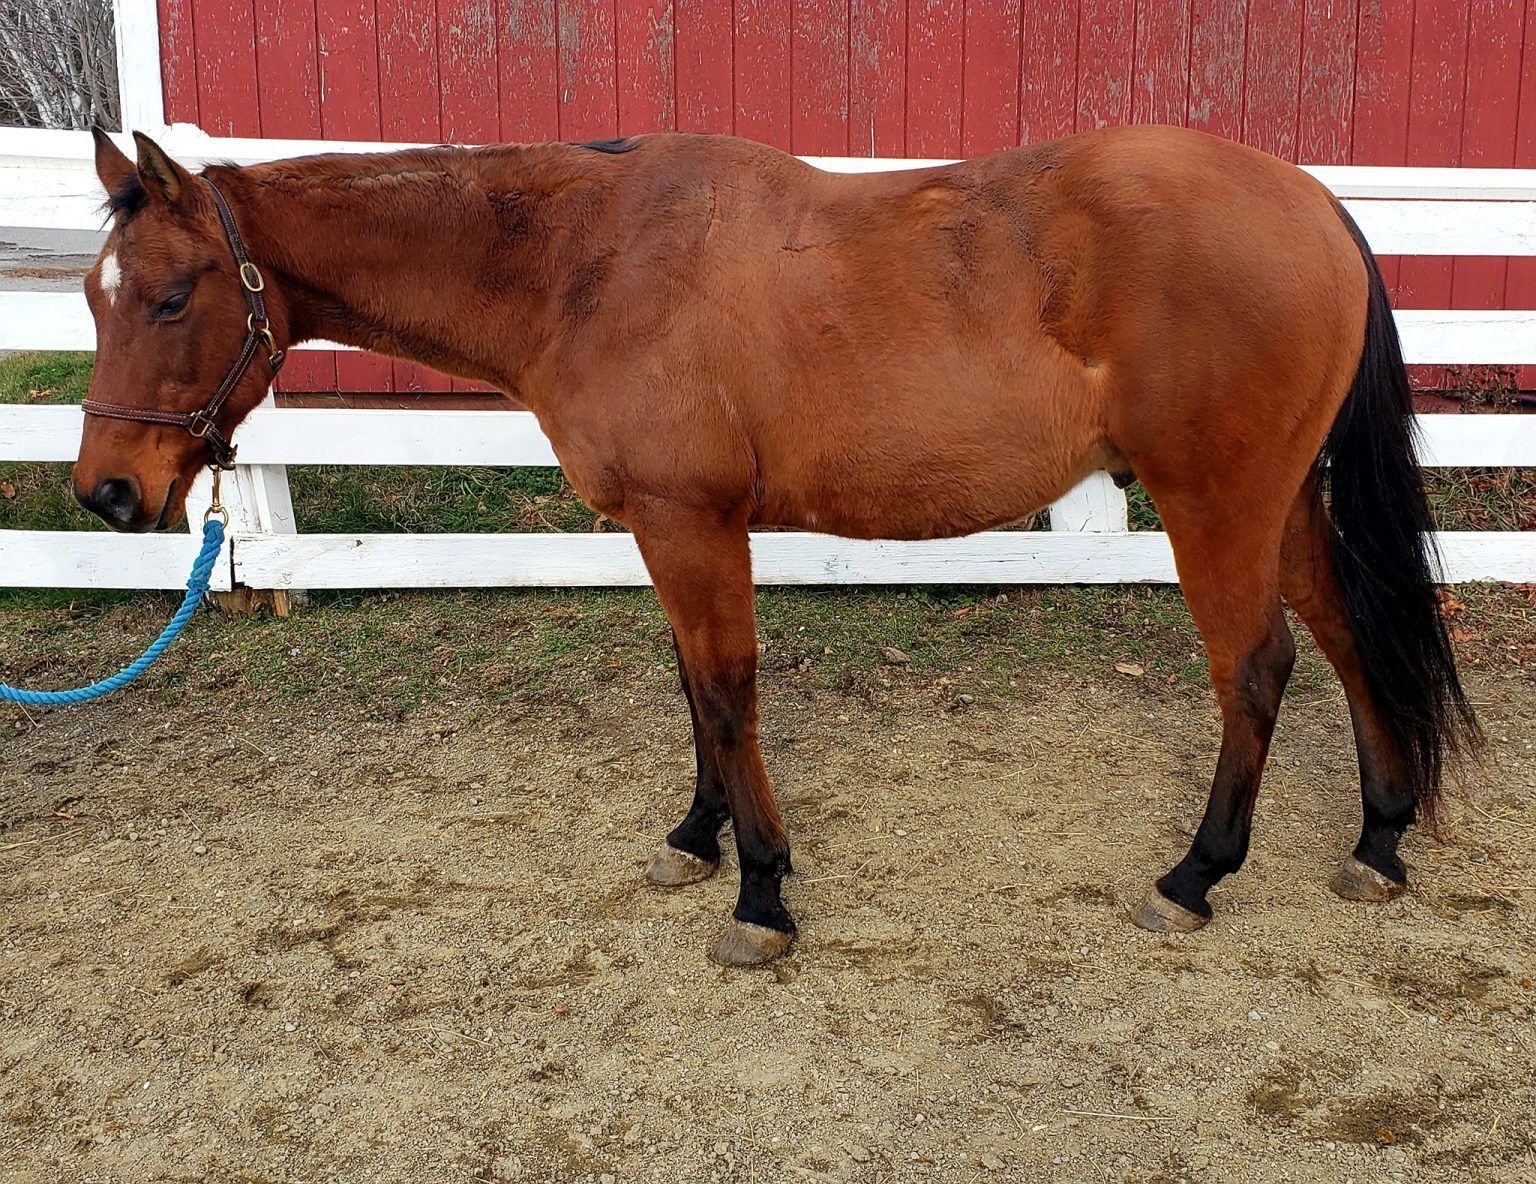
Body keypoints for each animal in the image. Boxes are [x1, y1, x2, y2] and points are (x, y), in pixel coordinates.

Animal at [72, 125, 1479, 966]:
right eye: (93, 291)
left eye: (174, 295)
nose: (109, 493)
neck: (587, 261)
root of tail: (1314, 204)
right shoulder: (668, 527)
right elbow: (693, 690)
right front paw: (697, 841)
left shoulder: (693, 520)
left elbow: (729, 691)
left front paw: (760, 893)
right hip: (1280, 500)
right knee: (1348, 635)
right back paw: (1378, 840)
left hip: (1216, 503)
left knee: (1258, 669)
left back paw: (1196, 872)